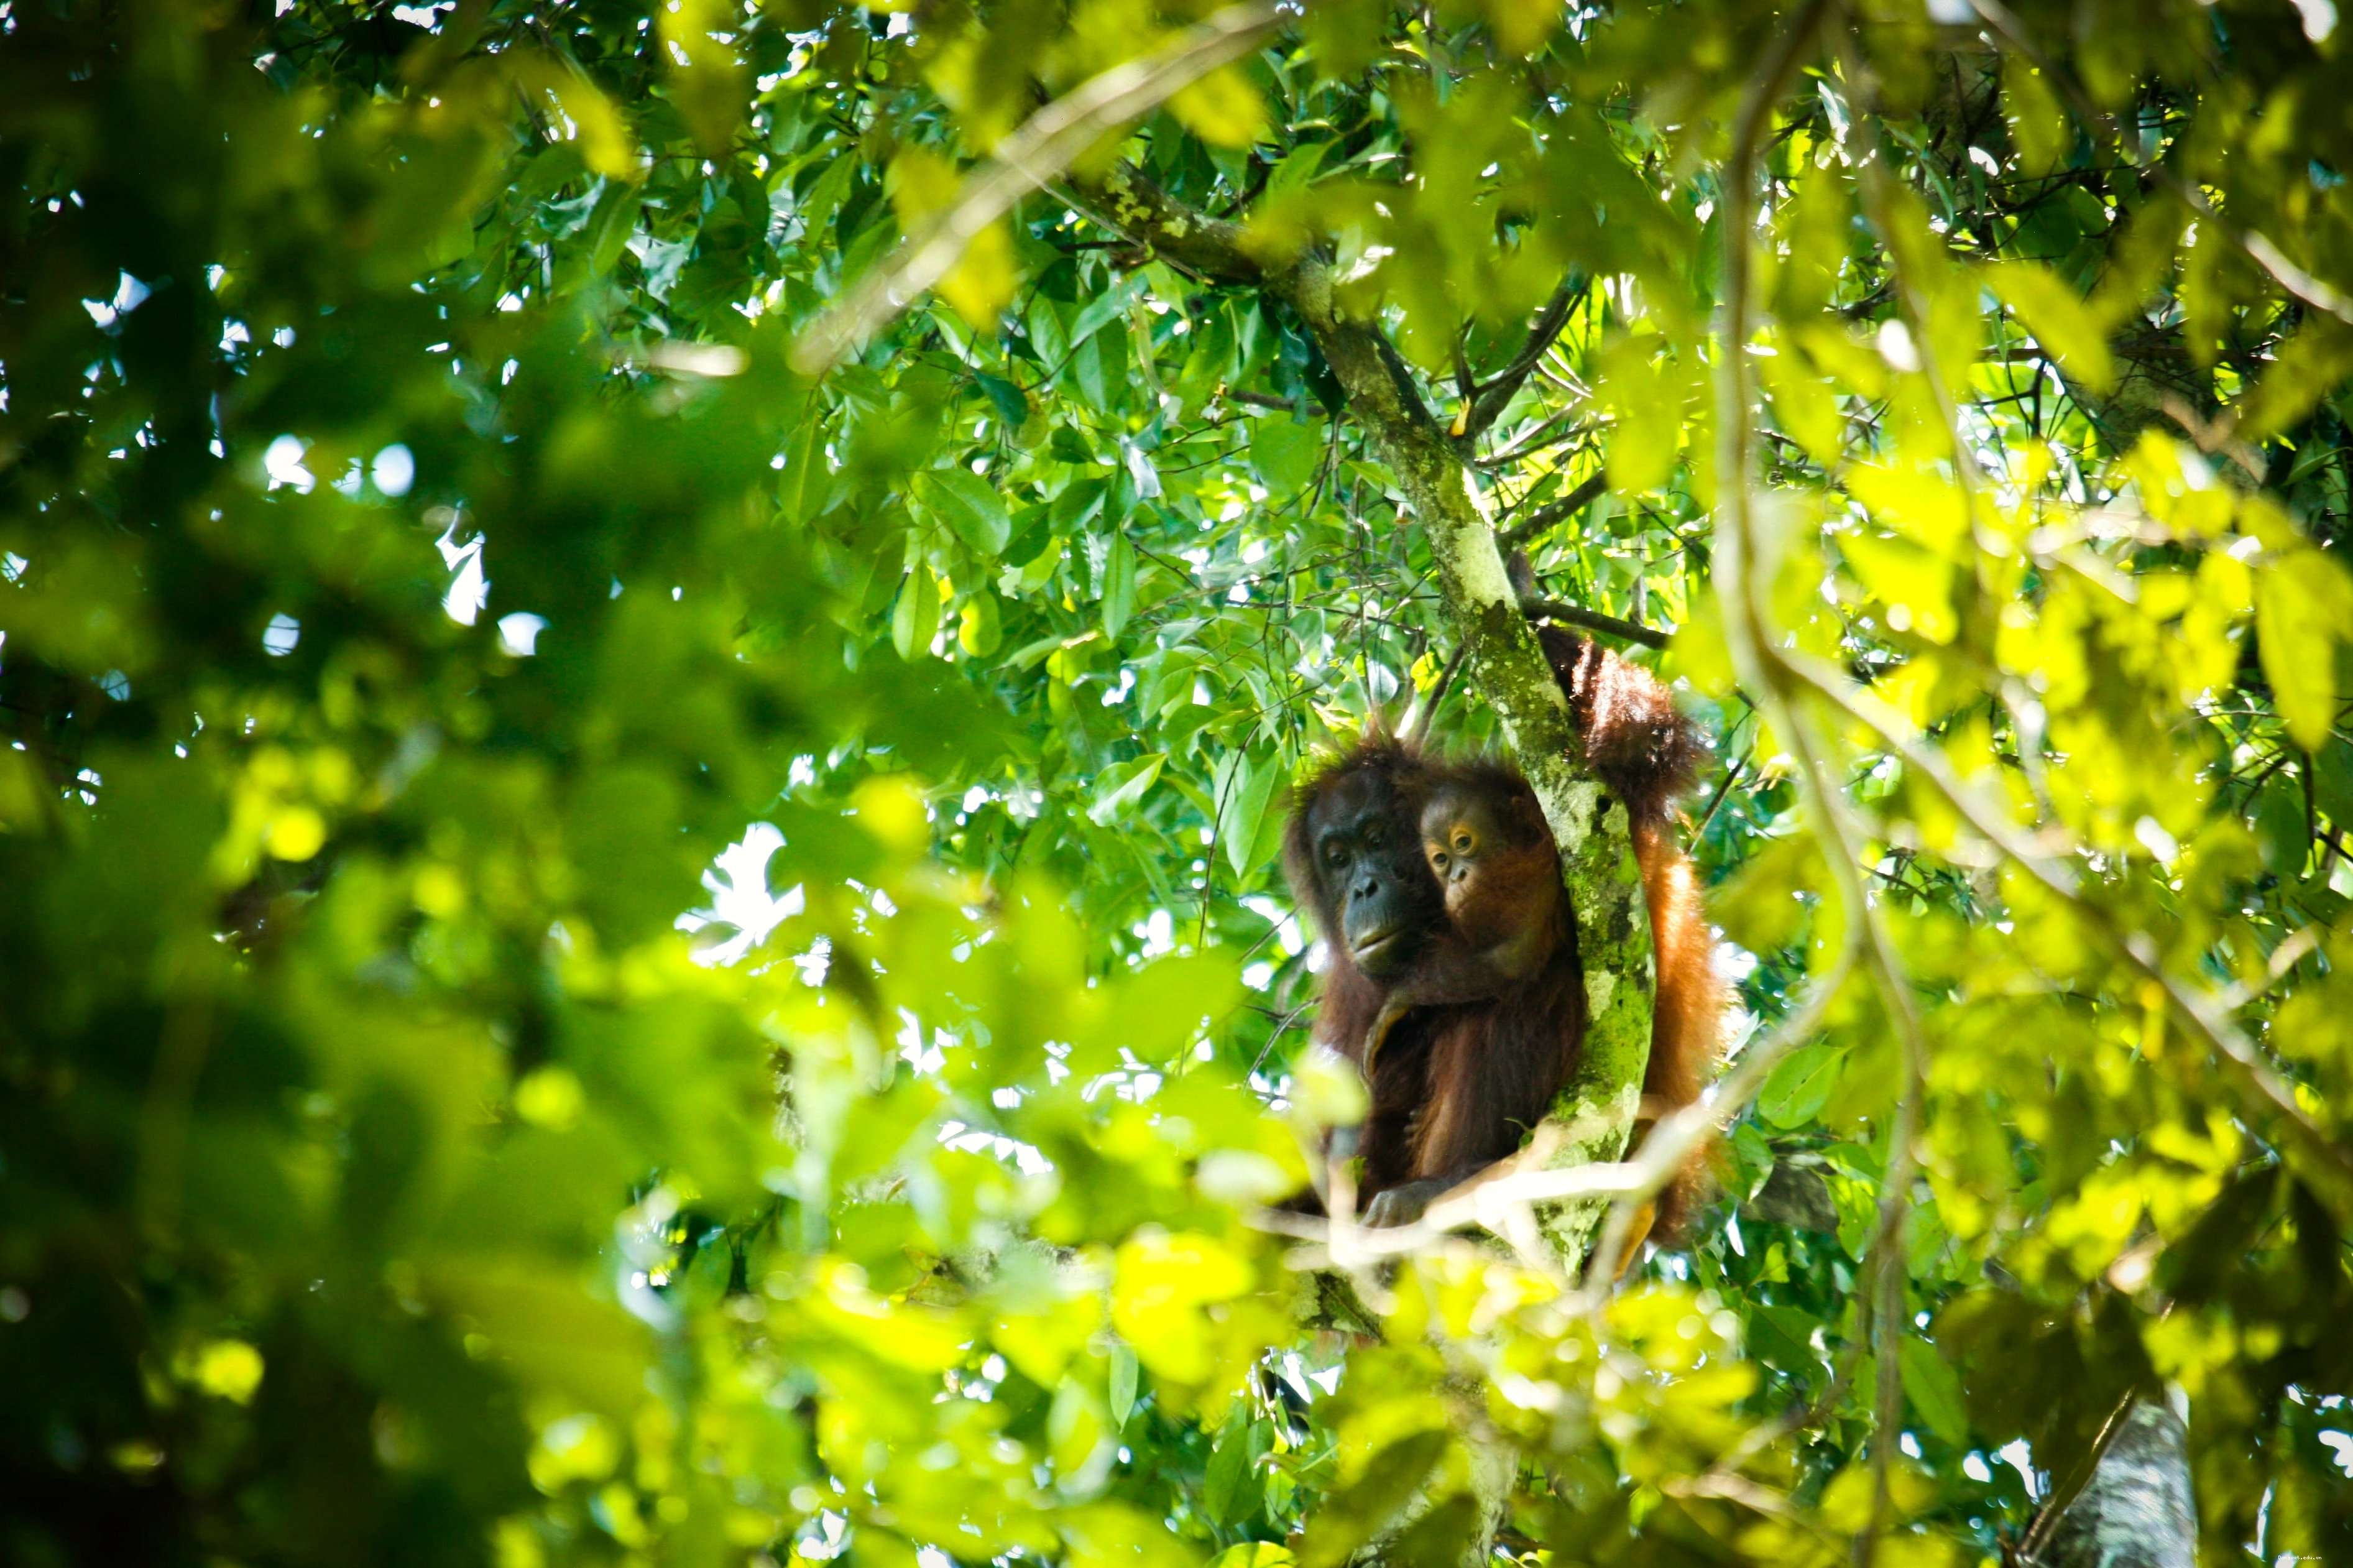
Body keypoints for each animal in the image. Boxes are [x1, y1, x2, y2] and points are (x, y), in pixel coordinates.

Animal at [1284, 627, 1721, 1238]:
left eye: (1375, 840)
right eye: (1338, 859)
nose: (1362, 890)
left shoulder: (1580, 833)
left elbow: (1637, 746)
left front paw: (1542, 631)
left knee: (1516, 998)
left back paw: (1453, 1182)